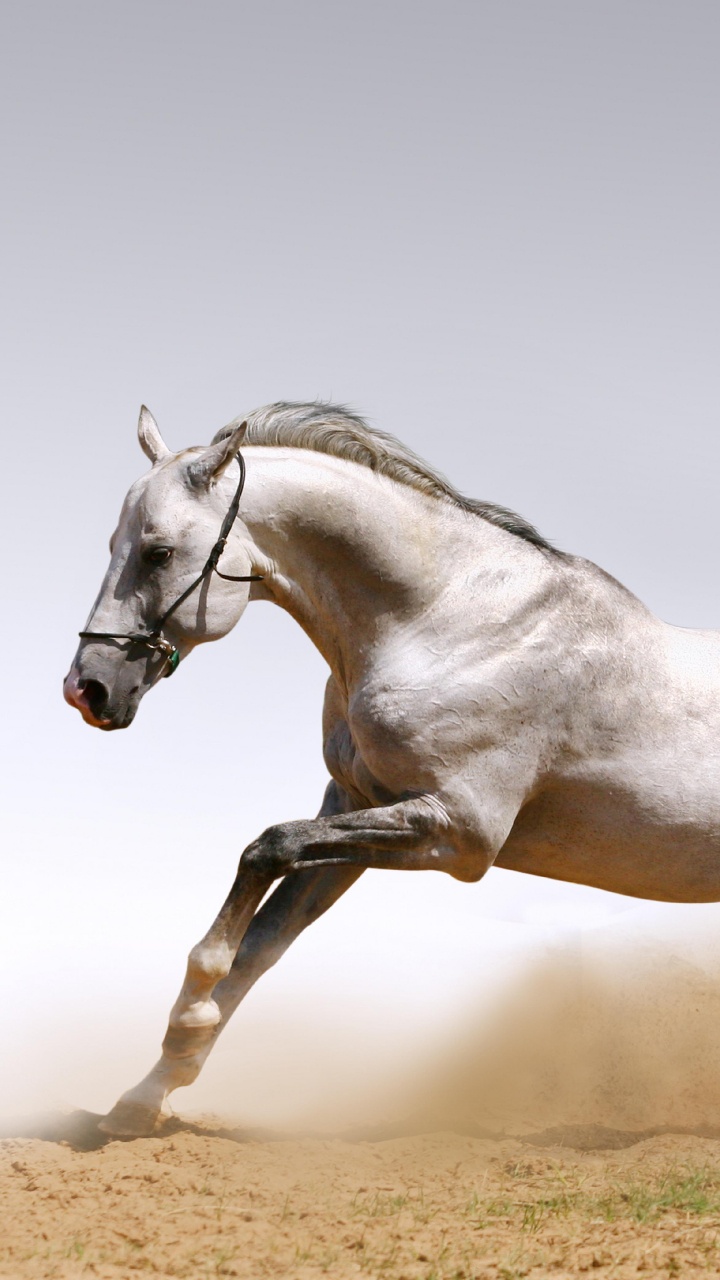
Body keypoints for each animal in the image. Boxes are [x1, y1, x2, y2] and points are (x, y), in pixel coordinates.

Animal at [64, 401, 720, 1136]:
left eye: (158, 552)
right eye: (113, 545)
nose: (87, 689)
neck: (448, 625)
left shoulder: (458, 833)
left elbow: (265, 850)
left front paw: (192, 1006)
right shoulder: (354, 808)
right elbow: (262, 943)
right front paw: (144, 1096)